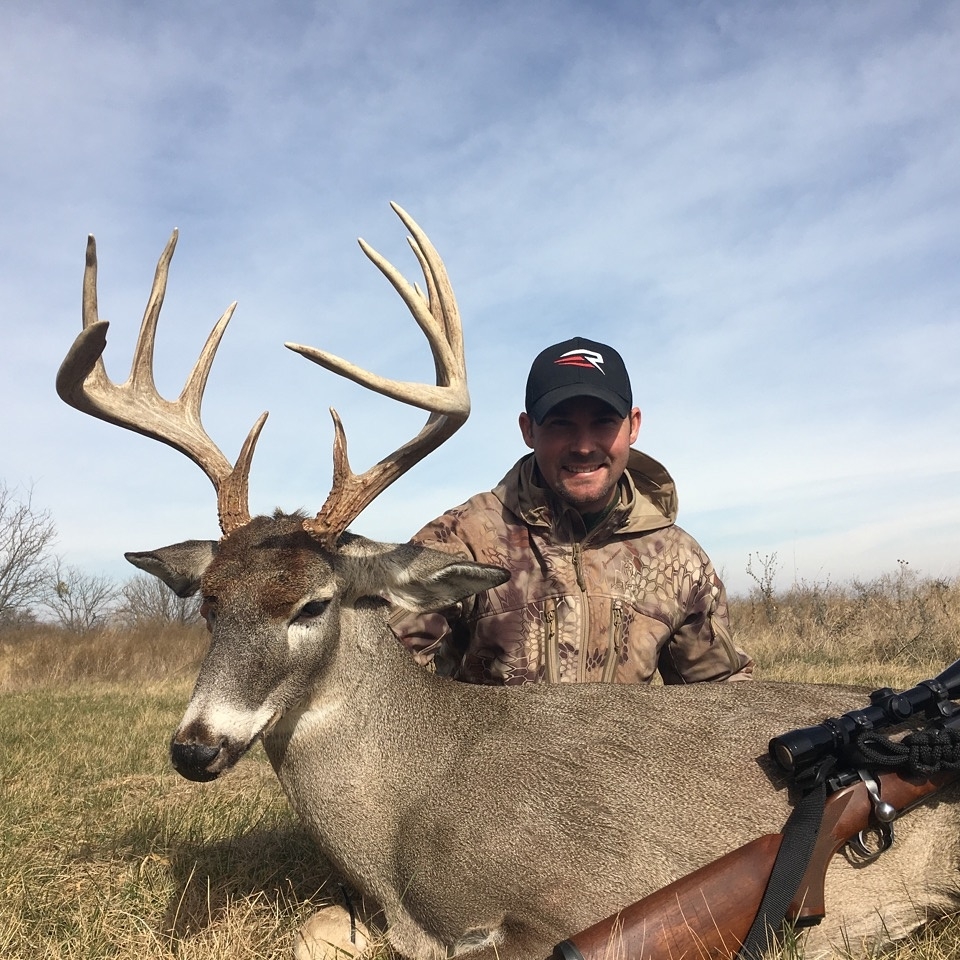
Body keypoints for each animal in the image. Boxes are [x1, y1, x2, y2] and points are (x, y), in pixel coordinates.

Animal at [57, 204, 960, 960]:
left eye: (312, 603)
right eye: (208, 605)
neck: (400, 817)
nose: (195, 747)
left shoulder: (586, 903)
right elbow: (311, 928)